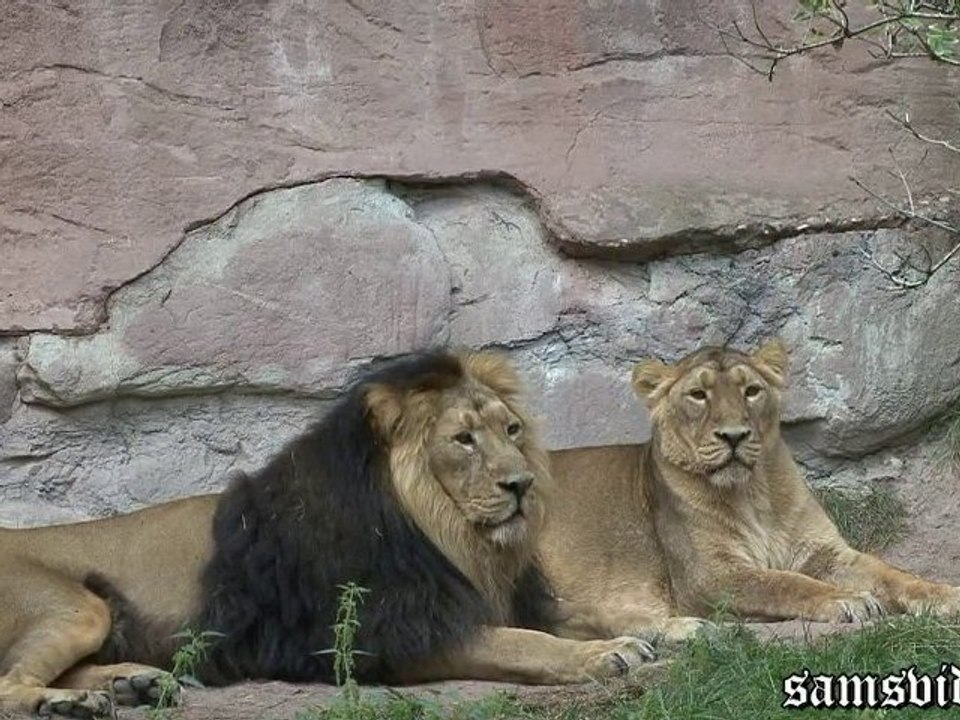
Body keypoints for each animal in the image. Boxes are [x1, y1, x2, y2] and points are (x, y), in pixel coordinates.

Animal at [0, 350, 653, 717]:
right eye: (463, 440)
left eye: (512, 430)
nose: (521, 484)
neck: (455, 537)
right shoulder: (395, 634)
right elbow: (525, 643)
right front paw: (606, 654)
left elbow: (575, 615)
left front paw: (661, 629)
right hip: (76, 606)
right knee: (8, 684)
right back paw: (67, 702)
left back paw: (129, 683)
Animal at [540, 340, 960, 640]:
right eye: (698, 395)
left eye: (752, 390)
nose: (734, 436)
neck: (754, 493)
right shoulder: (708, 577)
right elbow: (783, 583)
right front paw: (845, 599)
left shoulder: (823, 552)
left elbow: (892, 573)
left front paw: (946, 595)